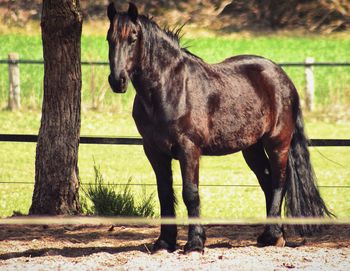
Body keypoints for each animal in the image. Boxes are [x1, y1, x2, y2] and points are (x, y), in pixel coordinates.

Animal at [105, 2, 332, 254]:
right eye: (109, 38)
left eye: (133, 38)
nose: (117, 81)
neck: (169, 89)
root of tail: (282, 76)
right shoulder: (154, 151)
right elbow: (165, 193)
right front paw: (164, 242)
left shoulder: (188, 149)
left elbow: (190, 193)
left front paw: (195, 243)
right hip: (251, 148)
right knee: (266, 181)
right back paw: (270, 236)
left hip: (277, 144)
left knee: (278, 182)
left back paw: (274, 235)